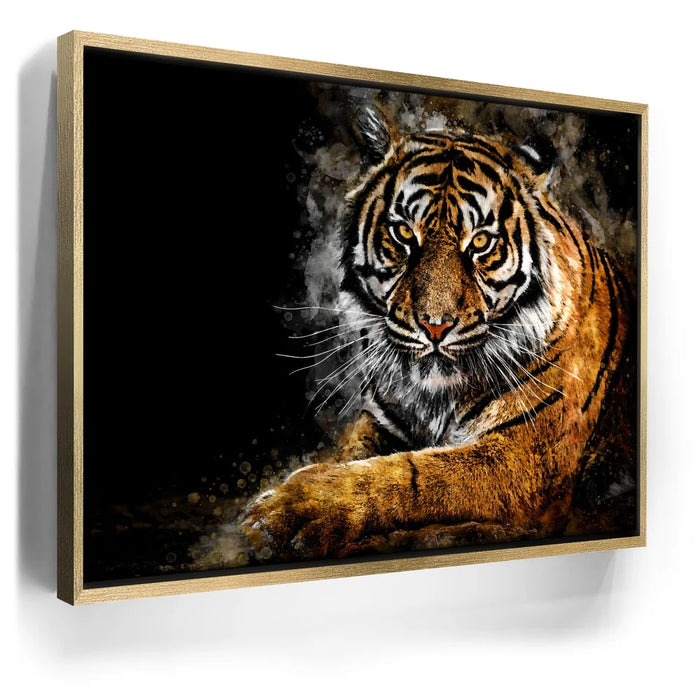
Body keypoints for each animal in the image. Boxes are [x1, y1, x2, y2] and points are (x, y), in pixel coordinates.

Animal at [239, 107, 636, 562]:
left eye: (480, 242)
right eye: (403, 234)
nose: (435, 326)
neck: (435, 397)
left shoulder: (524, 456)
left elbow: (412, 475)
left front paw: (288, 510)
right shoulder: (382, 421)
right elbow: (354, 456)